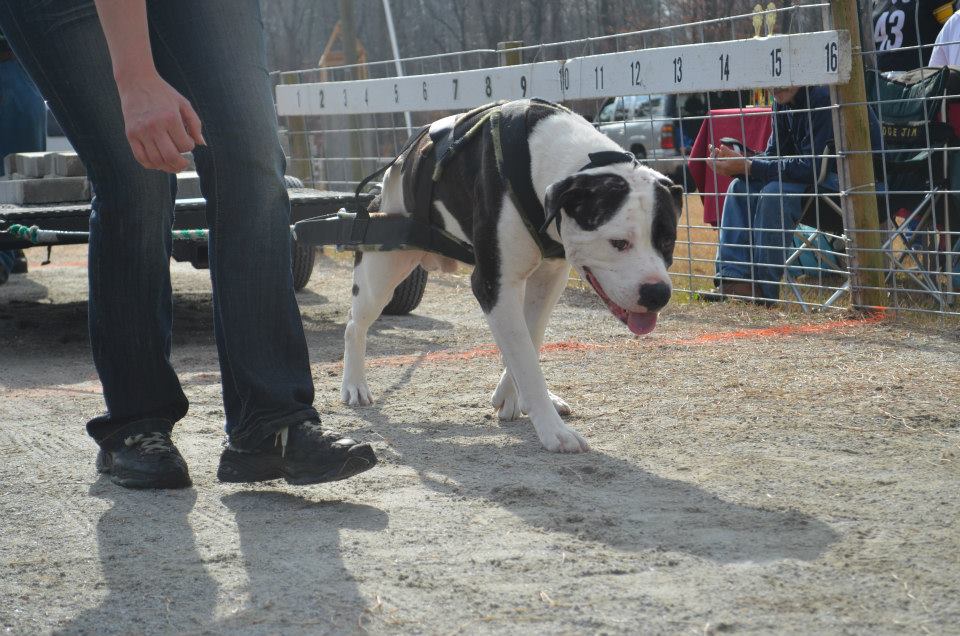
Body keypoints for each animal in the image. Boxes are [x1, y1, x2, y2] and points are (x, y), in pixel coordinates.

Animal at [338, 99, 684, 452]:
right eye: (618, 242)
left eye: (667, 240)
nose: (658, 294)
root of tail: (395, 167)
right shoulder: (494, 284)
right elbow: (526, 359)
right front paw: (552, 428)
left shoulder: (547, 279)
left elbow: (528, 341)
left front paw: (513, 395)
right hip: (381, 270)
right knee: (355, 326)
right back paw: (354, 384)